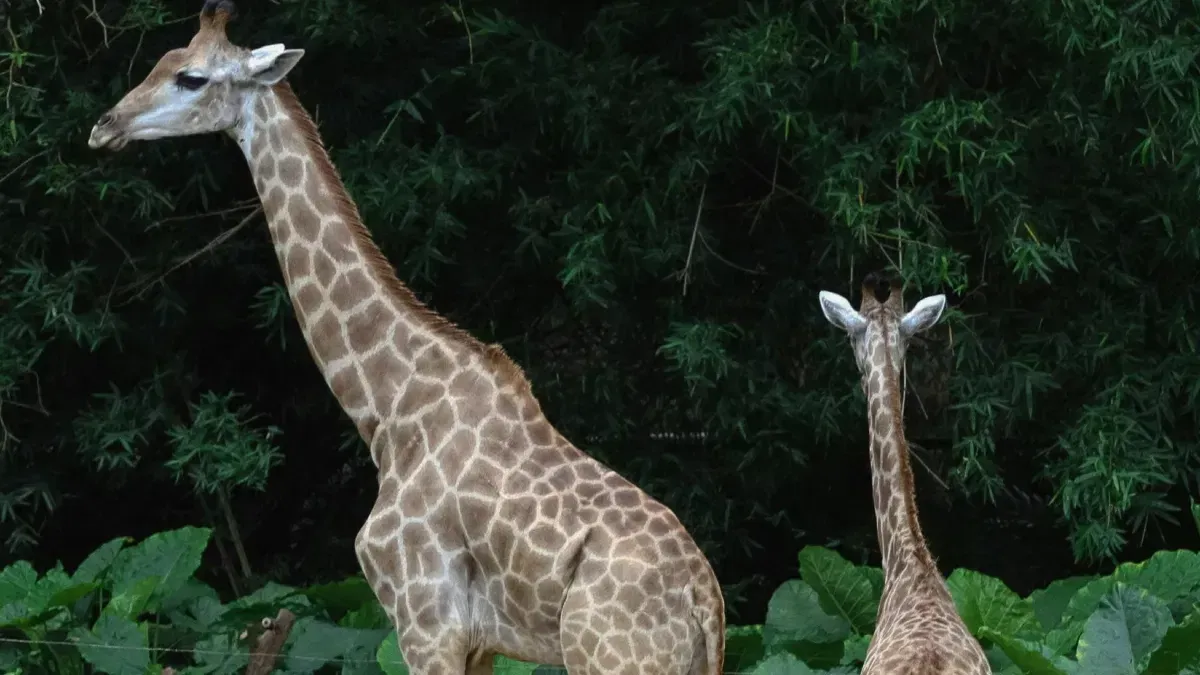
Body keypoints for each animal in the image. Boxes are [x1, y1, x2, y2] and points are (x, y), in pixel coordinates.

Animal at [86, 3, 725, 674]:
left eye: (191, 77)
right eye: (162, 60)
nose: (105, 126)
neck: (387, 407)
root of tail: (705, 603)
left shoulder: (424, 623)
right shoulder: (478, 642)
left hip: (610, 657)